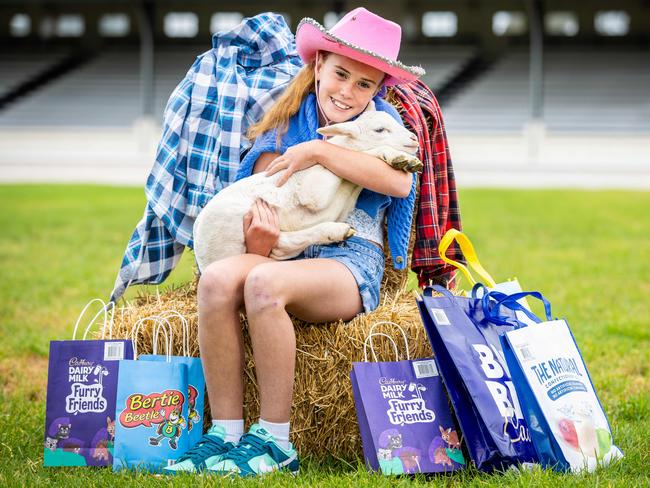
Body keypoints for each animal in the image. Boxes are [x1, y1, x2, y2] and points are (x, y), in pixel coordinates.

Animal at [192, 108, 420, 272]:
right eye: (380, 129)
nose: (414, 139)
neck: (349, 185)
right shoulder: (313, 190)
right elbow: (367, 152)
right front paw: (397, 157)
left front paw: (406, 161)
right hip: (229, 237)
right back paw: (334, 231)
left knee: (280, 245)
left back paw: (334, 232)